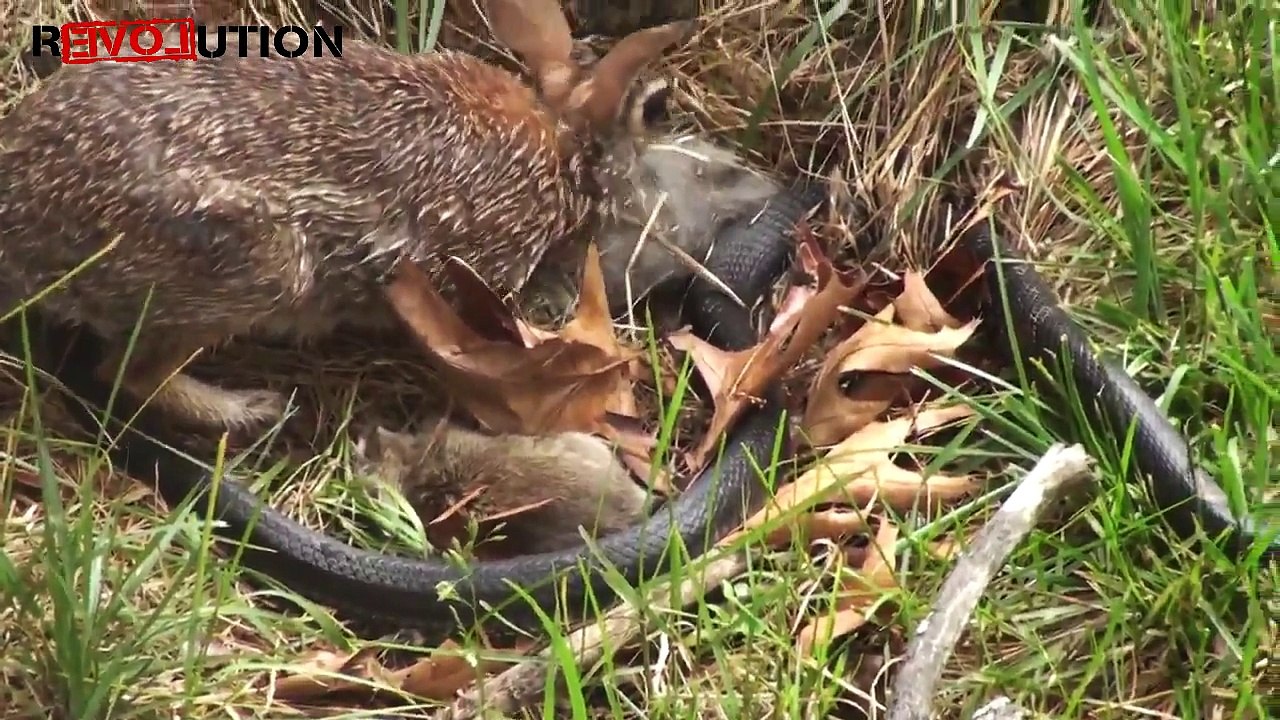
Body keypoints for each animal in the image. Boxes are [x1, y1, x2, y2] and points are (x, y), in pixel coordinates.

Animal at [0, 0, 695, 434]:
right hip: (260, 267)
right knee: (130, 373)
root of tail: (19, 222)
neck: (557, 148)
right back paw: (250, 410)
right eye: (648, 118)